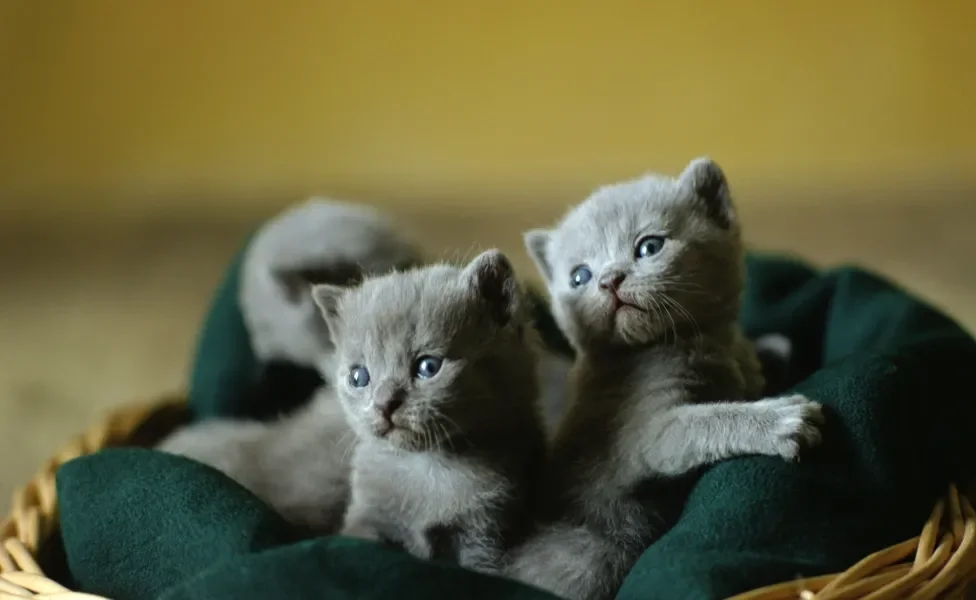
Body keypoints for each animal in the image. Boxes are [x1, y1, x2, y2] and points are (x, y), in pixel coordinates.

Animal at [316, 250, 552, 576]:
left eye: (428, 367)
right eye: (358, 377)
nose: (384, 403)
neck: (427, 467)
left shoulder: (486, 535)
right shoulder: (366, 516)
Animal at [510, 158, 824, 600]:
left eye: (649, 247)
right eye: (580, 277)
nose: (609, 279)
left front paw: (772, 353)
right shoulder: (641, 429)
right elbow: (702, 422)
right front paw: (780, 420)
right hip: (595, 554)